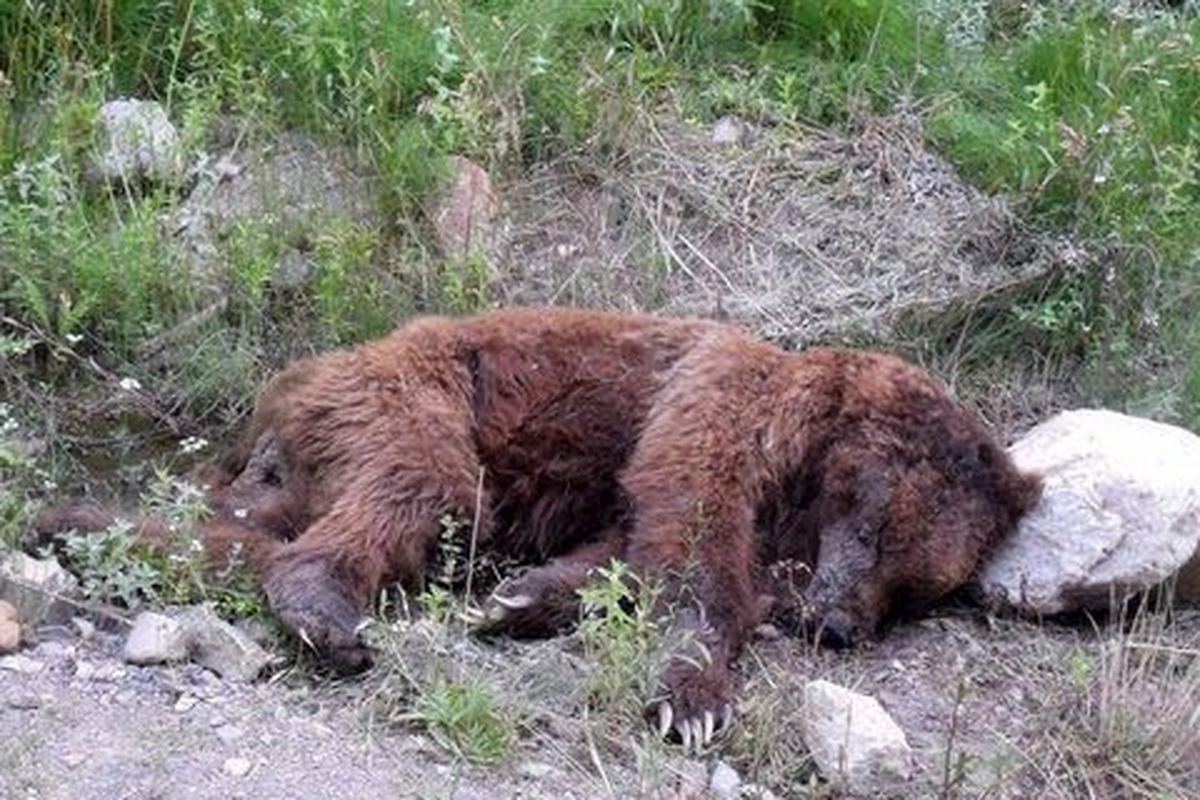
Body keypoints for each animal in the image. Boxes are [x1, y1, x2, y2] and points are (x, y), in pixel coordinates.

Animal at [32, 309, 1036, 753]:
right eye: (880, 529)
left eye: (919, 587)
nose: (837, 624)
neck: (807, 464)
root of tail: (287, 388)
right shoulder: (721, 405)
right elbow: (691, 531)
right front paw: (694, 698)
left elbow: (624, 549)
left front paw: (522, 599)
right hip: (416, 397)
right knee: (415, 491)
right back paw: (327, 611)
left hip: (308, 454)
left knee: (239, 524)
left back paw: (74, 520)